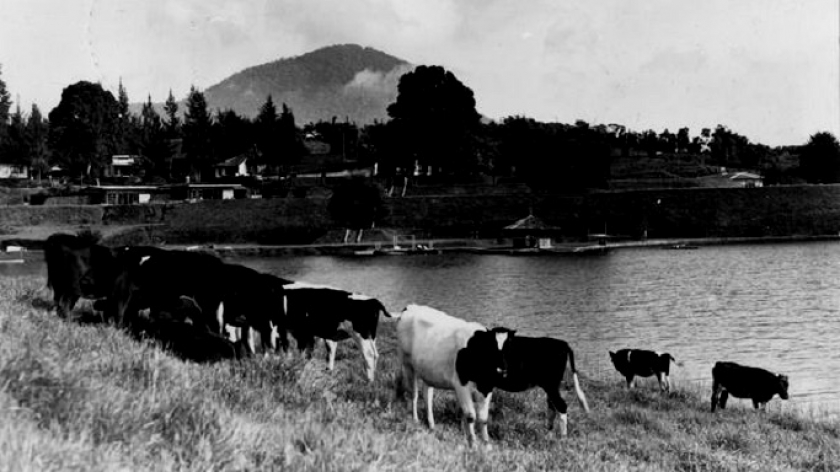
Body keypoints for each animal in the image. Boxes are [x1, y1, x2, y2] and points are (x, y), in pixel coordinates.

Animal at [394, 304, 506, 448]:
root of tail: (411, 307)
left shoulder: (487, 390)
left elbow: (483, 418)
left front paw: (486, 445)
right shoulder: (461, 386)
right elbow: (470, 416)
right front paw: (473, 445)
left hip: (428, 370)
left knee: (427, 395)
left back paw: (432, 426)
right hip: (407, 363)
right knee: (414, 394)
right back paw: (415, 420)